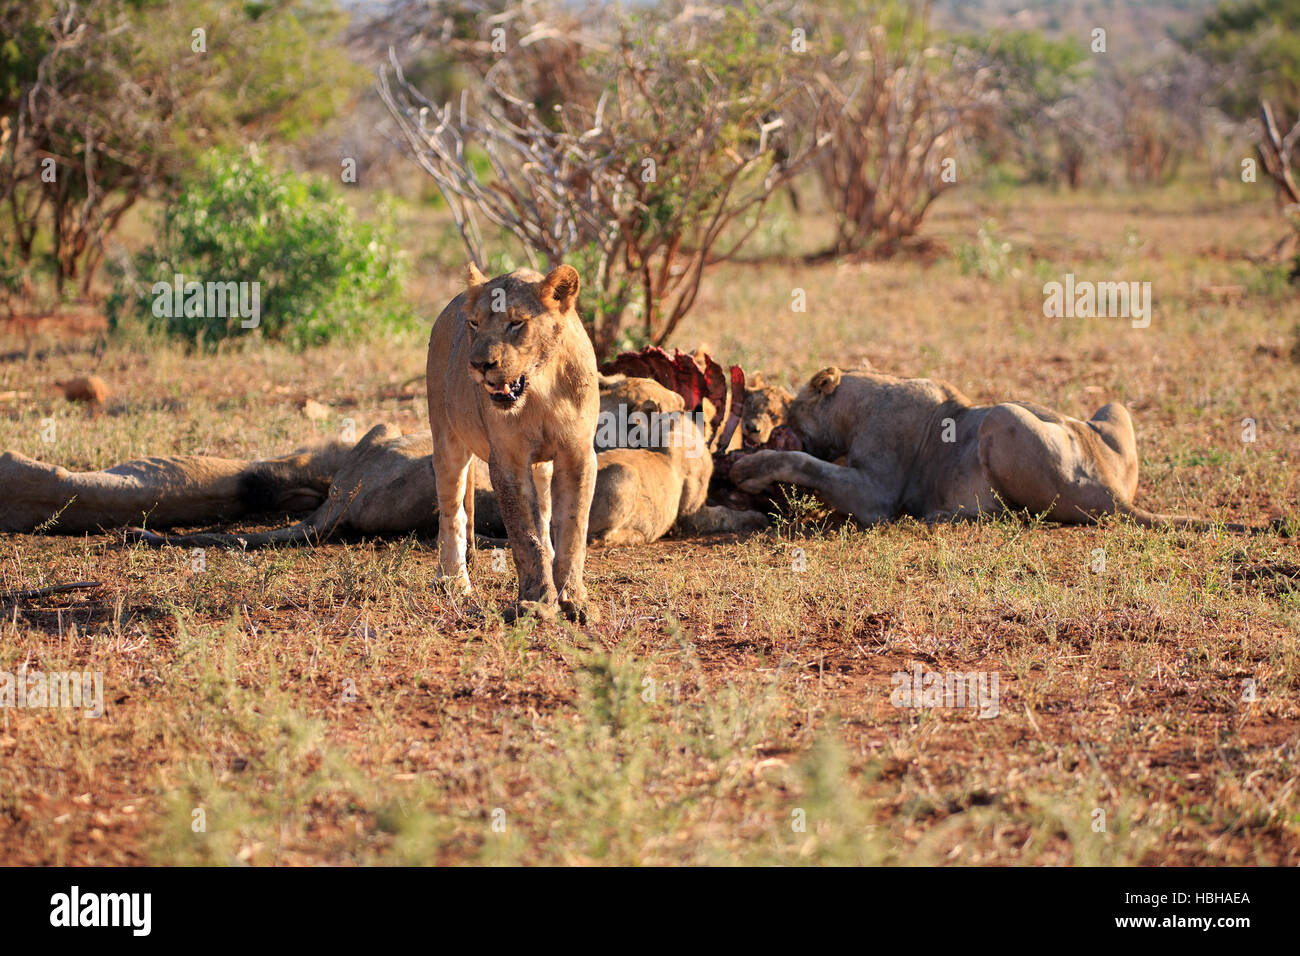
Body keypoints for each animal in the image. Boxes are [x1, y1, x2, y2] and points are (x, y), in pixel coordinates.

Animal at [426, 263, 599, 622]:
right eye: (475, 324)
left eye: (516, 322)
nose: (479, 365)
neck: (542, 389)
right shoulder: (508, 460)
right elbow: (525, 536)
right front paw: (536, 601)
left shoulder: (577, 455)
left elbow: (573, 530)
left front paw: (574, 600)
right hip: (447, 440)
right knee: (452, 513)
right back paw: (452, 581)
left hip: (542, 466)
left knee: (545, 515)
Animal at [730, 366, 1261, 531]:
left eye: (785, 411)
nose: (757, 432)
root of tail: (1112, 494)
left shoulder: (875, 495)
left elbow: (805, 462)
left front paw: (750, 468)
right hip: (1113, 409)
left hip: (1000, 418)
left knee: (1014, 511)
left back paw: (944, 515)